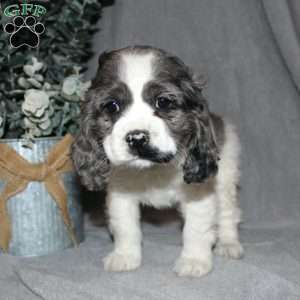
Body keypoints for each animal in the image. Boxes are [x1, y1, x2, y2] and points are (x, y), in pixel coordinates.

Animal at [71, 45, 243, 278]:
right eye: (112, 106)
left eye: (163, 102)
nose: (137, 138)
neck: (154, 169)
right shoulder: (121, 194)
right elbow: (125, 226)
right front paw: (125, 256)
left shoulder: (199, 193)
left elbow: (195, 228)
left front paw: (194, 260)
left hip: (226, 175)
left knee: (228, 212)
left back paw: (228, 243)